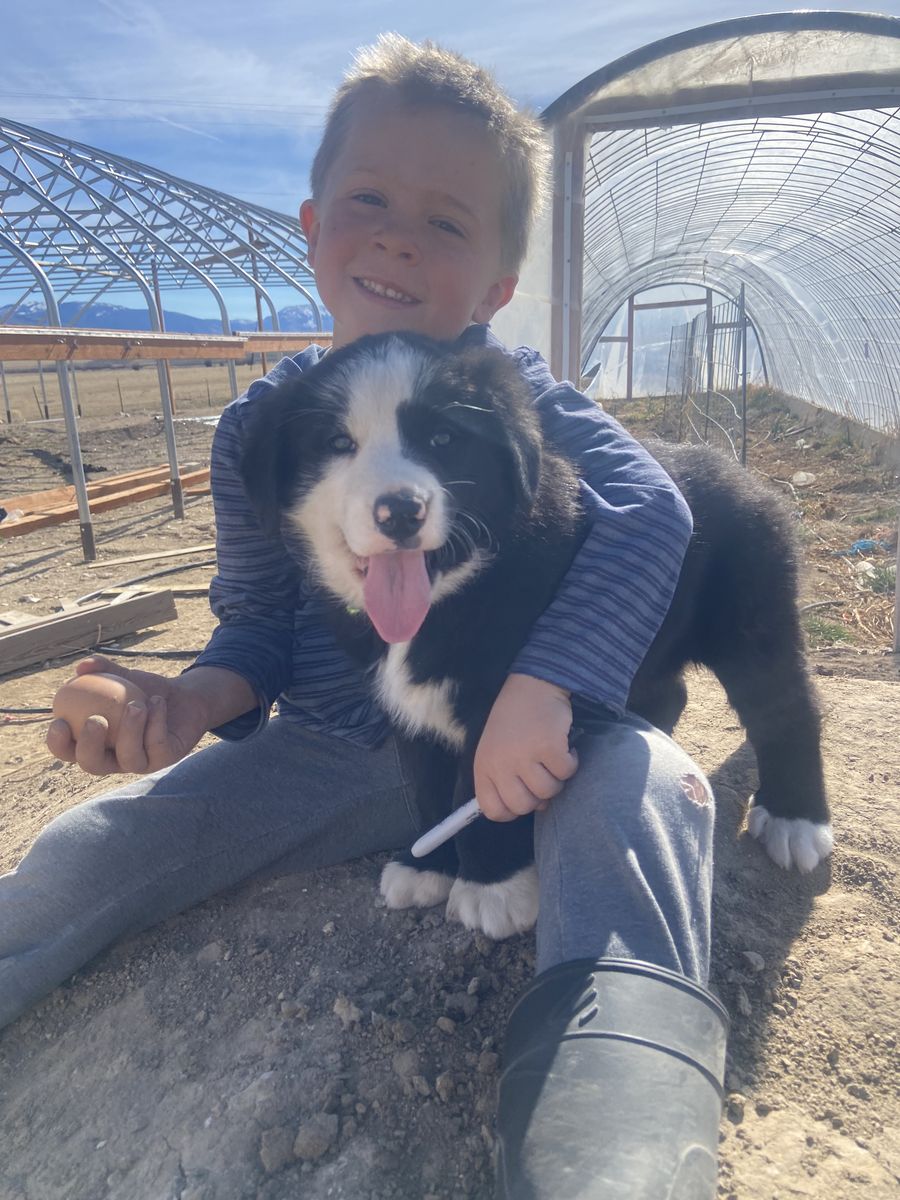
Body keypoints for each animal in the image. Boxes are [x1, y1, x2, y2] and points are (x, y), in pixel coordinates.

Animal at [240, 332, 832, 938]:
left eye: (443, 438)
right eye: (338, 443)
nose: (400, 511)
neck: (454, 595)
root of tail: (741, 471)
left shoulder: (502, 710)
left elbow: (480, 787)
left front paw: (492, 888)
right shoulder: (406, 709)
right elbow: (428, 788)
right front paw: (425, 866)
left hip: (752, 619)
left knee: (787, 708)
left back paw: (795, 819)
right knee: (672, 690)